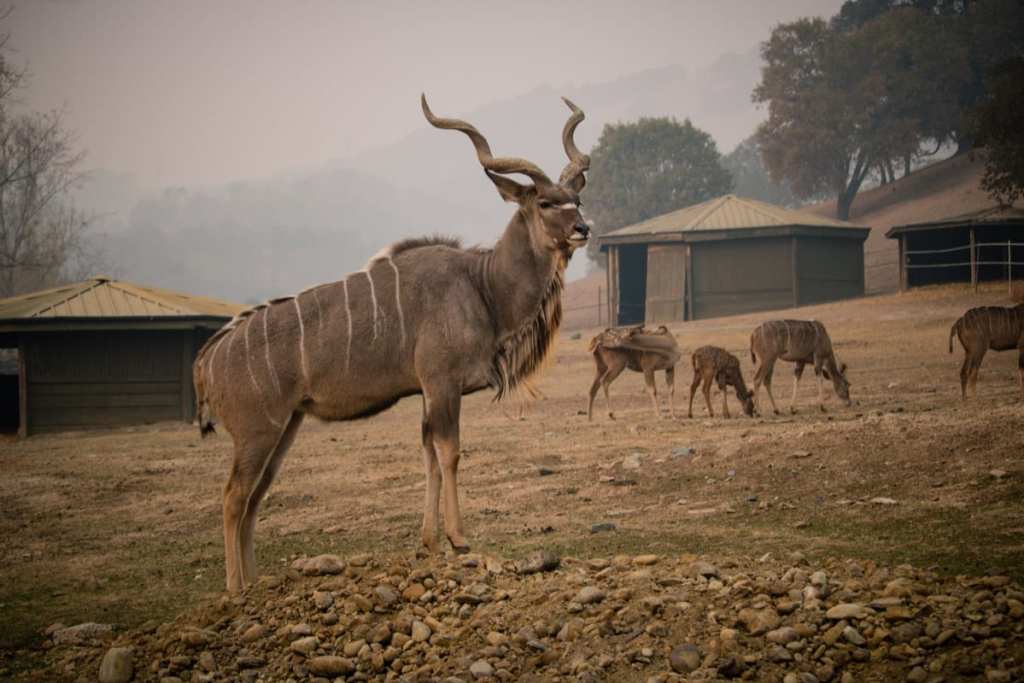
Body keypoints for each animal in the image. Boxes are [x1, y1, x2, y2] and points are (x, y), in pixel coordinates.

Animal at [192, 93, 593, 589]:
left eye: (576, 198)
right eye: (545, 202)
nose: (583, 229)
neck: (482, 285)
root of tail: (208, 357)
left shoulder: (427, 393)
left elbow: (428, 456)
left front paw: (431, 542)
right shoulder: (442, 384)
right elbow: (449, 453)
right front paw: (458, 538)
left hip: (284, 426)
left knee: (254, 496)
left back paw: (255, 584)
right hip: (257, 430)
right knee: (233, 496)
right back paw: (236, 590)